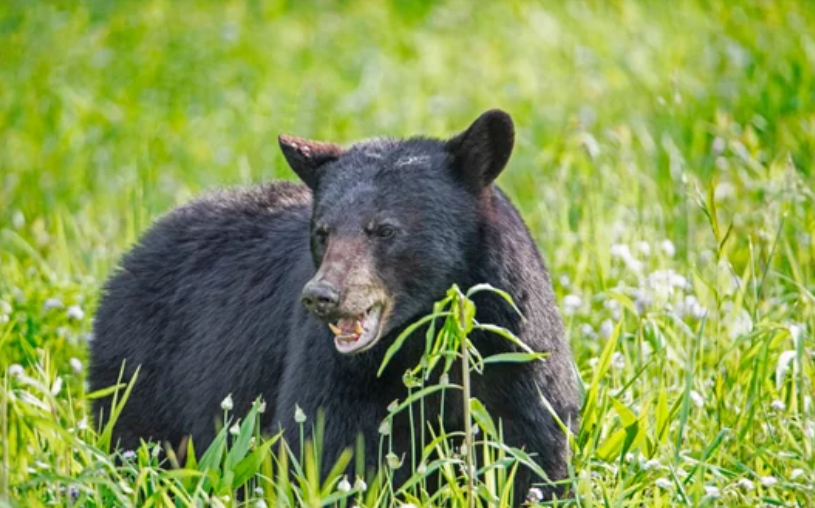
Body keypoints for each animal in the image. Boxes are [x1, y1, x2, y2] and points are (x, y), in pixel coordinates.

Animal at [89, 109, 580, 503]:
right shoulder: (335, 370)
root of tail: (133, 252)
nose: (322, 296)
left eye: (384, 229)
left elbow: (532, 450)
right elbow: (327, 449)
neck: (419, 336)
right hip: (142, 373)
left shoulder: (514, 349)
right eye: (323, 231)